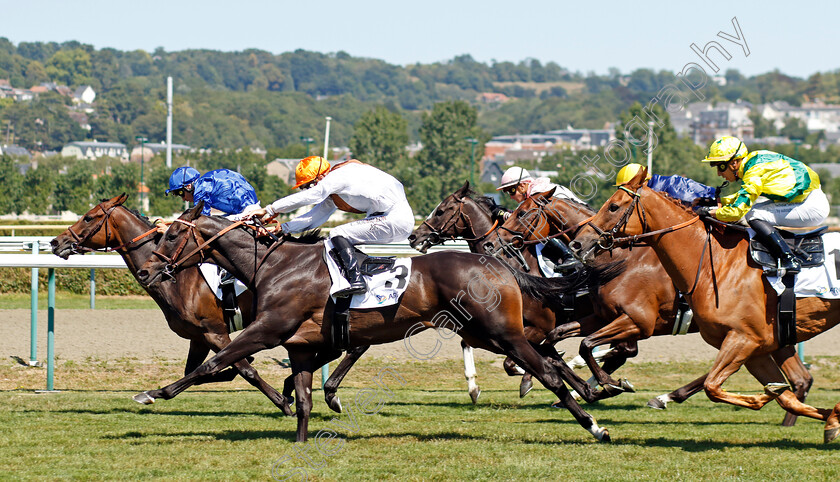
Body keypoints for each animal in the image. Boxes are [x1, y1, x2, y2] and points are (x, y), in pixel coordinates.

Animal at [49, 194, 294, 416]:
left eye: (88, 218)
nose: (55, 242)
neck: (178, 280)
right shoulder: (199, 337)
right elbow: (198, 372)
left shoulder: (215, 332)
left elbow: (245, 370)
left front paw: (284, 402)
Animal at [136, 201, 624, 442]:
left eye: (173, 234)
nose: (147, 270)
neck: (274, 265)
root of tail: (498, 263)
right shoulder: (300, 345)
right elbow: (303, 397)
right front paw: (300, 437)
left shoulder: (267, 329)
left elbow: (213, 365)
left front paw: (154, 393)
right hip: (485, 333)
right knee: (545, 360)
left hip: (502, 333)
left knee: (548, 372)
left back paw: (595, 424)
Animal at [496, 188, 812, 426]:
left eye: (522, 212)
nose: (493, 243)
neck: (621, 259)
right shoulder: (601, 316)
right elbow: (561, 342)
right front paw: (594, 385)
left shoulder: (638, 321)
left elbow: (591, 348)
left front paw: (607, 384)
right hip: (770, 333)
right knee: (798, 377)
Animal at [568, 168, 840, 442]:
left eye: (613, 206)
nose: (577, 244)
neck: (716, 263)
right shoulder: (756, 348)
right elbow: (782, 398)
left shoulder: (741, 338)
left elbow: (712, 386)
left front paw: (605, 384)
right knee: (800, 380)